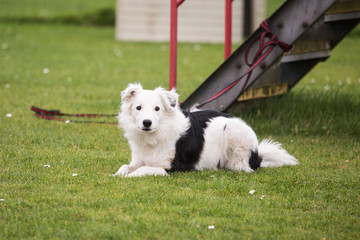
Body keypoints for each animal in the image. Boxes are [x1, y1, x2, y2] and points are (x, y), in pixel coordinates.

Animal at [114, 83, 296, 177]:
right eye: (138, 107)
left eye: (157, 108)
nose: (147, 122)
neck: (154, 135)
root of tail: (257, 153)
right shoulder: (137, 160)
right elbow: (124, 167)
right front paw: (117, 175)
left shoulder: (170, 167)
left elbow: (141, 170)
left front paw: (128, 177)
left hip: (234, 132)